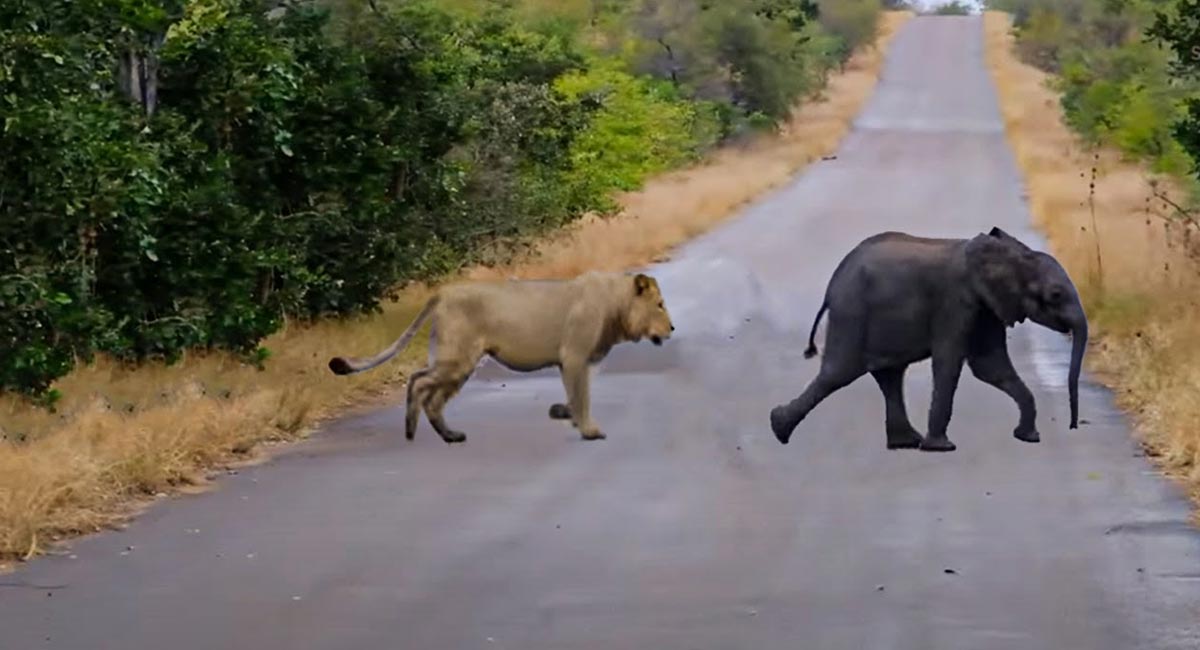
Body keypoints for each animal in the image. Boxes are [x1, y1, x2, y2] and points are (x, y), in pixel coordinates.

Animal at [328, 272, 676, 446]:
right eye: (660, 304)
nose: (672, 328)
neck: (615, 304)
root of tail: (444, 293)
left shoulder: (575, 362)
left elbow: (575, 394)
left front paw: (562, 413)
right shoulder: (575, 356)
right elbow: (583, 396)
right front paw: (589, 431)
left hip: (459, 362)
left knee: (432, 396)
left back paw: (450, 435)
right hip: (458, 357)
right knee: (418, 381)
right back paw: (411, 431)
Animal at [768, 229, 1089, 453]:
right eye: (1055, 295)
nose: (1074, 425)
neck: (1015, 253)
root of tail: (831, 286)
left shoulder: (985, 308)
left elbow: (990, 366)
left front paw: (1028, 438)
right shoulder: (955, 302)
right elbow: (950, 362)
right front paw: (942, 448)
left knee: (889, 376)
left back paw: (905, 443)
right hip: (852, 312)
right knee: (838, 373)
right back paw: (778, 429)